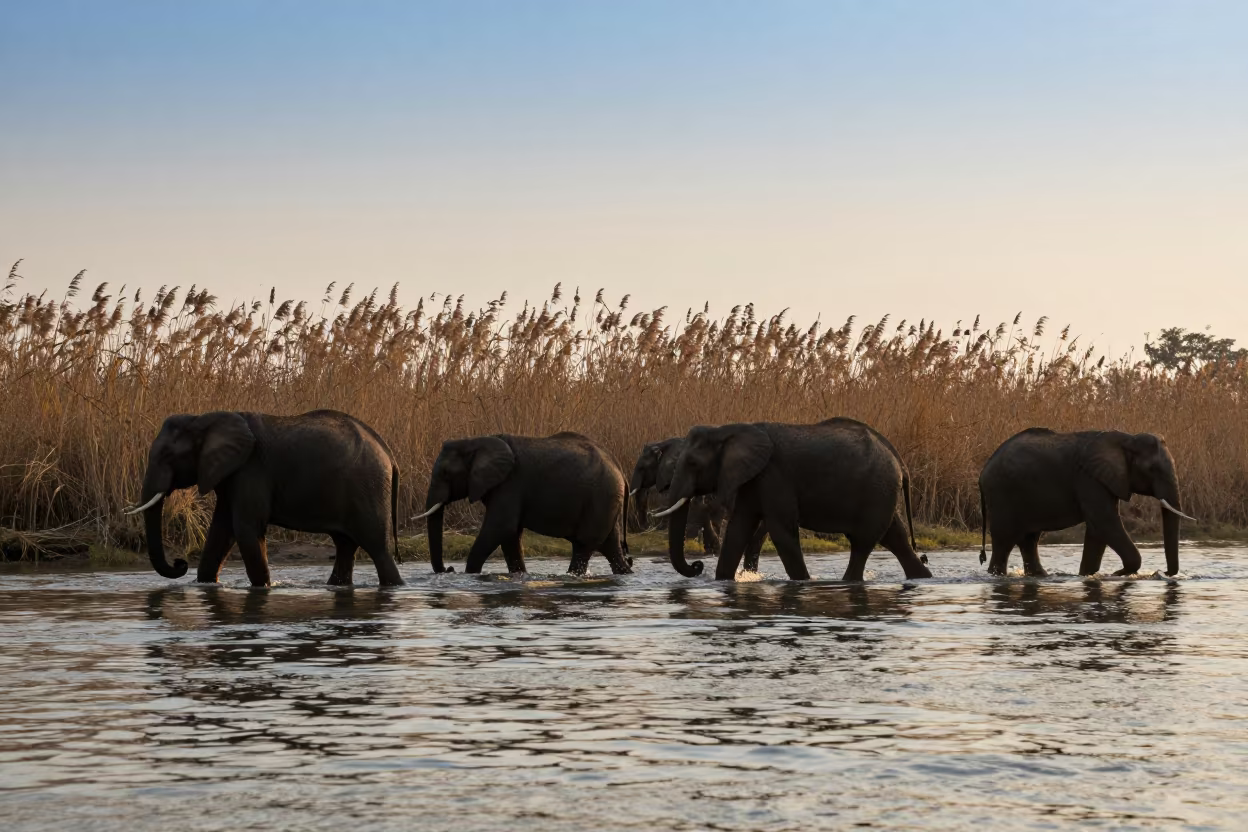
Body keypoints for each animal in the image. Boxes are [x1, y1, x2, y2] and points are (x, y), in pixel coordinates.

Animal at [125, 409, 404, 587]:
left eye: (167, 456)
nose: (180, 563)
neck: (204, 417)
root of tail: (390, 454)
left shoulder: (251, 469)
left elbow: (245, 529)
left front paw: (264, 589)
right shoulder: (230, 475)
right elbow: (221, 531)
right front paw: (204, 584)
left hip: (369, 487)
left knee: (377, 548)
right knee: (345, 545)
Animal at [415, 431, 633, 576]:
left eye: (445, 474)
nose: (449, 569)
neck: (475, 441)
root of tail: (621, 471)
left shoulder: (510, 484)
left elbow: (501, 527)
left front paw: (471, 575)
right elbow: (510, 536)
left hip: (601, 498)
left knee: (583, 546)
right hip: (607, 502)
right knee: (610, 547)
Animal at [656, 417, 931, 582]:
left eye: (693, 463)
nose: (697, 566)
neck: (727, 429)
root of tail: (900, 461)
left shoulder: (774, 476)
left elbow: (782, 531)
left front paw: (803, 583)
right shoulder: (751, 478)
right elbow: (738, 529)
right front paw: (724, 581)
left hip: (877, 490)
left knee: (863, 543)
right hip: (882, 493)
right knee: (894, 537)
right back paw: (923, 577)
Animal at [978, 428, 1194, 577]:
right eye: (1151, 469)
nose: (1162, 573)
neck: (1127, 439)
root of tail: (983, 471)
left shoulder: (1105, 480)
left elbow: (1098, 529)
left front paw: (1087, 575)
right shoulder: (1089, 479)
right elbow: (1105, 522)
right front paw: (1117, 574)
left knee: (1029, 539)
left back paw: (1040, 576)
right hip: (1001, 494)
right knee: (1004, 540)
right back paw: (997, 576)